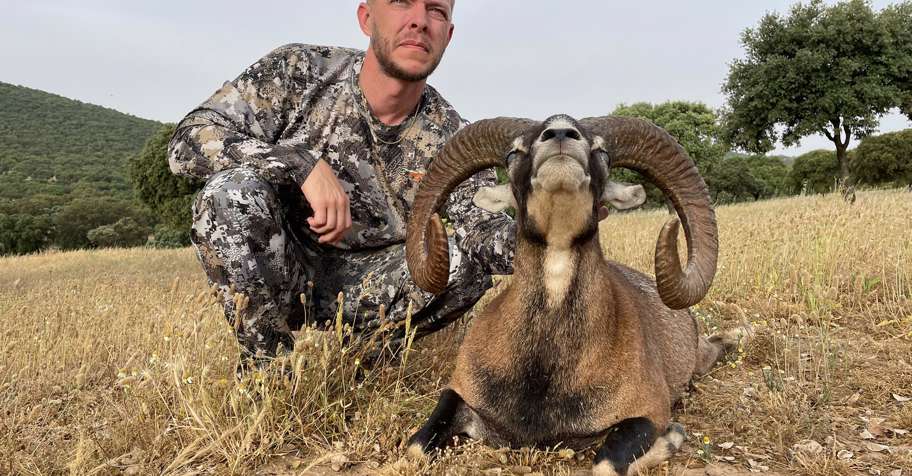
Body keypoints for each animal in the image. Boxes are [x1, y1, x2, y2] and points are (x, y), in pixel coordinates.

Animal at [403, 115, 747, 475]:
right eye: (513, 154)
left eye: (603, 153)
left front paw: (673, 436)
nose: (559, 133)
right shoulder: (459, 395)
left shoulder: (647, 413)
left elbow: (606, 464)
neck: (543, 370)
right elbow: (415, 449)